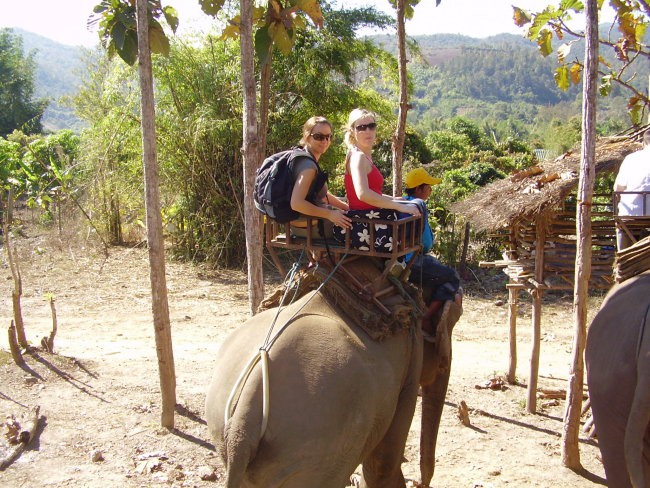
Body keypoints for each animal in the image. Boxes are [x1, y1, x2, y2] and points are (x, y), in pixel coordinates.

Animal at [204, 264, 460, 488]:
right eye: (442, 362)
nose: (420, 482)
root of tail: (242, 424)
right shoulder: (410, 354)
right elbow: (382, 466)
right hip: (314, 450)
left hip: (228, 434)